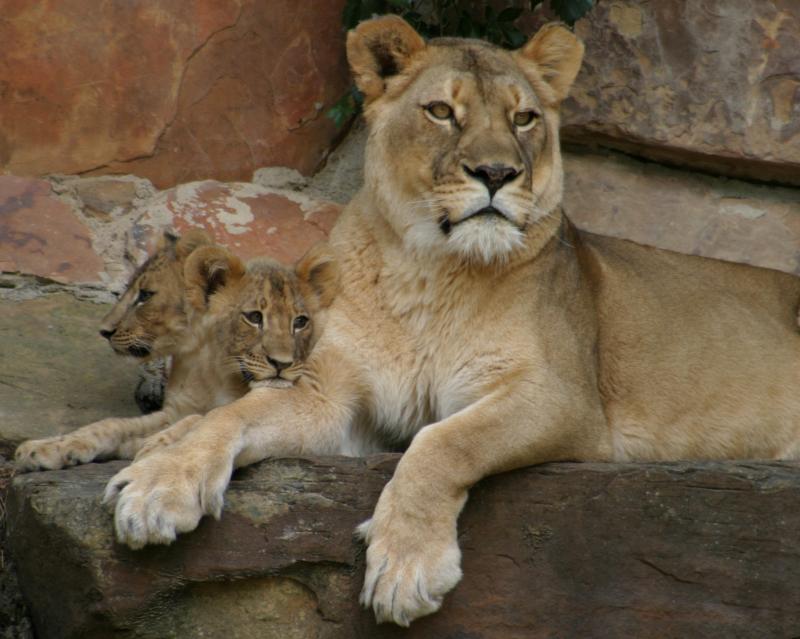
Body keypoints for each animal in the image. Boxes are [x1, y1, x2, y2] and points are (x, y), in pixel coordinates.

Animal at [104, 17, 800, 628]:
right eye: (442, 111)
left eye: (524, 118)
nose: (497, 173)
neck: (431, 272)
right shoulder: (335, 399)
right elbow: (233, 416)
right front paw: (159, 484)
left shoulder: (564, 399)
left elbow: (444, 441)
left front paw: (405, 567)